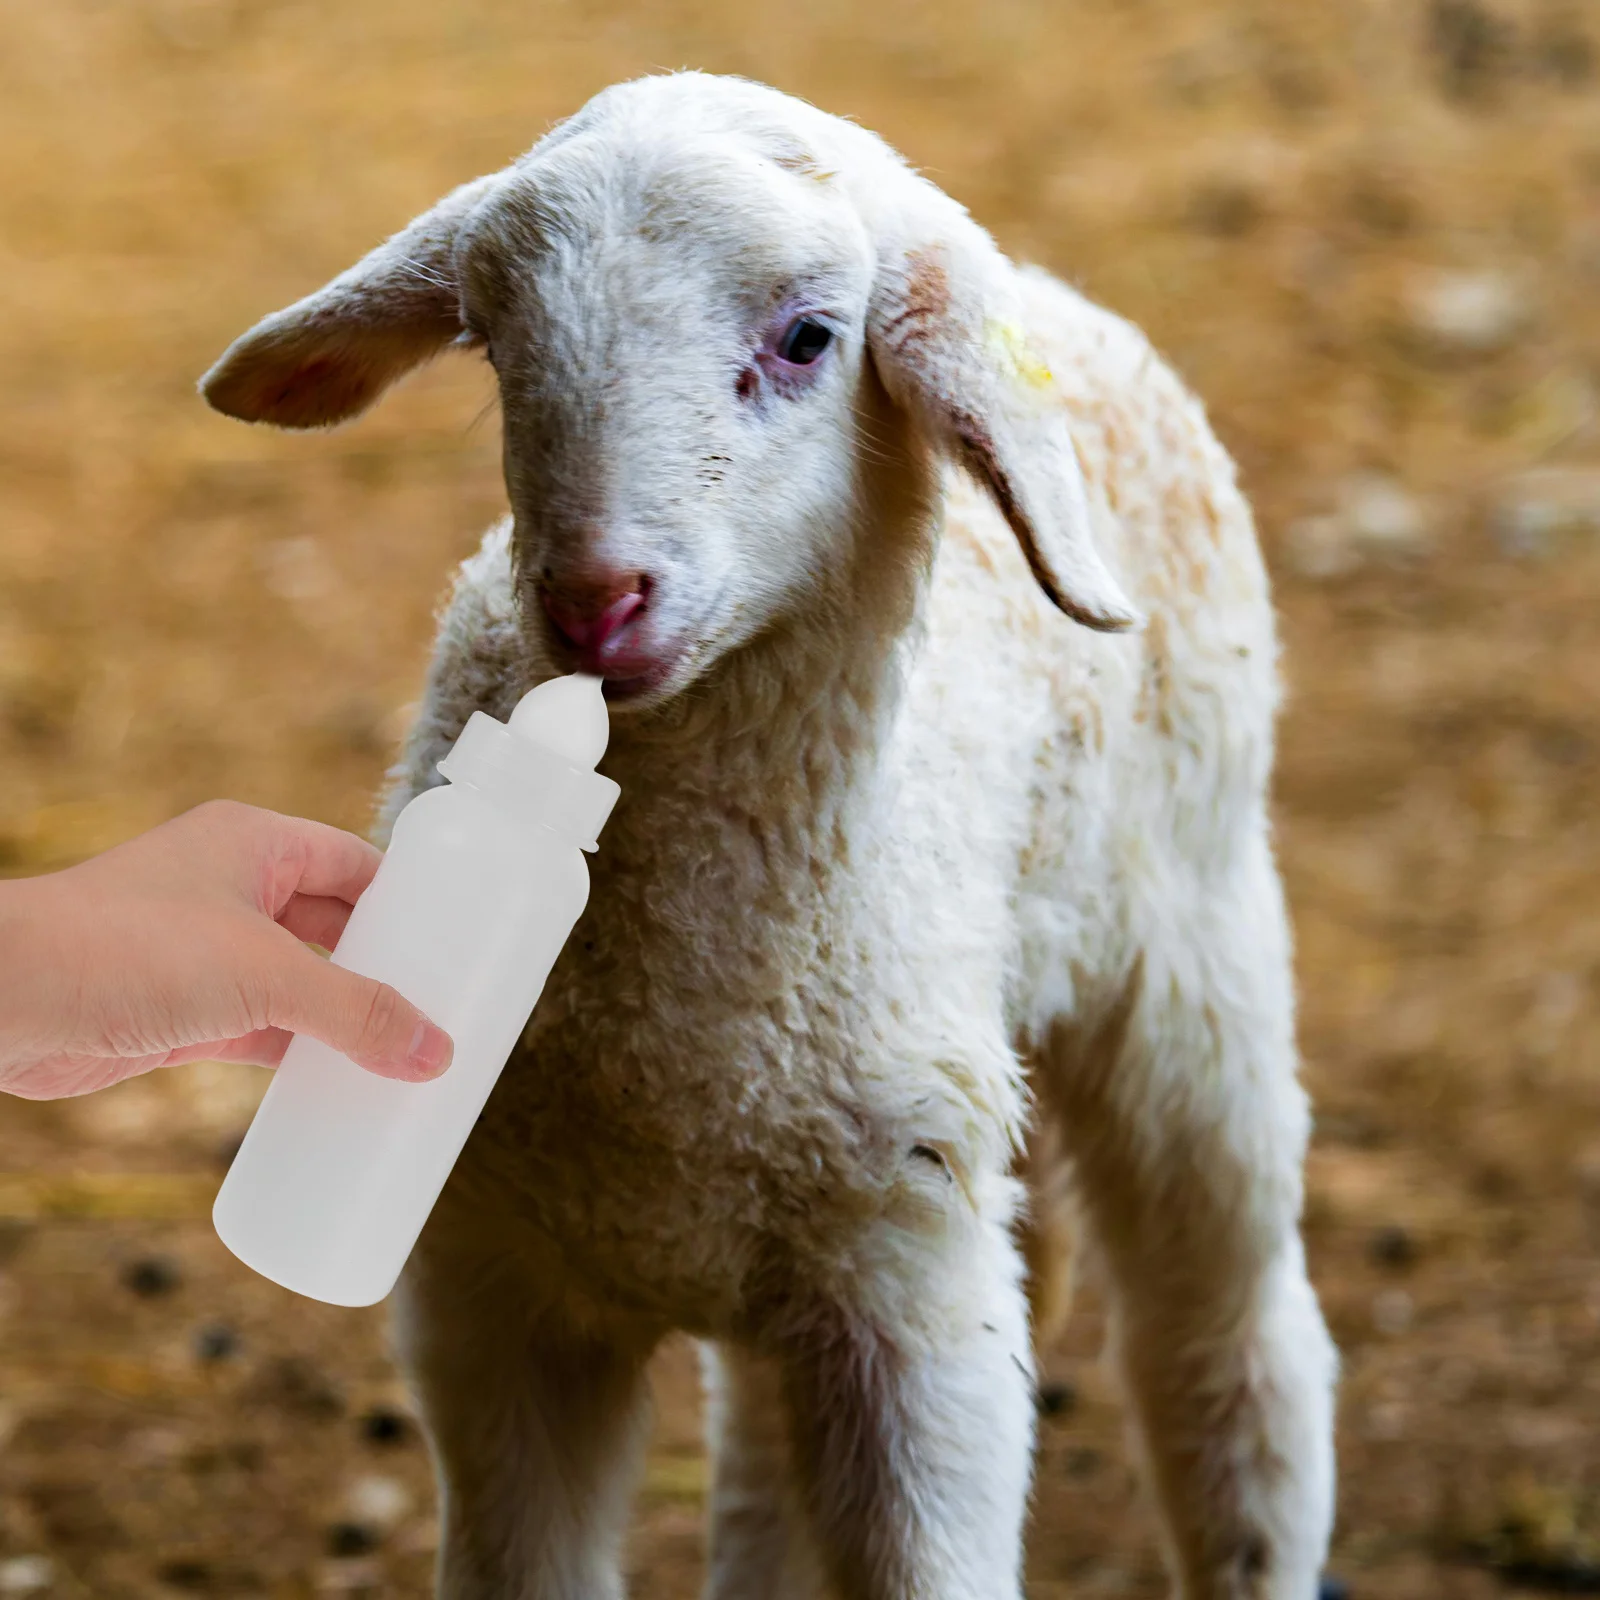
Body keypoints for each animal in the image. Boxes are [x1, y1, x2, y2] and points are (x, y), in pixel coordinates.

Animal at [201, 72, 1337, 1600]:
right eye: (497, 343)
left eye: (807, 338)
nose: (594, 600)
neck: (666, 1052)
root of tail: (1038, 288)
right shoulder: (490, 1292)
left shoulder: (919, 1302)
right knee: (760, 1472)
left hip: (1195, 966)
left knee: (1227, 1350)